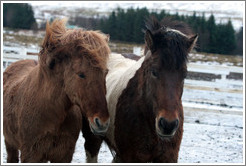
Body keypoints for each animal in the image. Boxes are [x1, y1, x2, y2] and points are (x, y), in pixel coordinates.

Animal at [2, 18, 110, 163]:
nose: (102, 123)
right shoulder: (31, 154)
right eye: (81, 74)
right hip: (10, 144)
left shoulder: (64, 155)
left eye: (105, 73)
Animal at [82, 16, 198, 162]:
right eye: (154, 72)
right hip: (93, 137)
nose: (168, 125)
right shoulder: (130, 157)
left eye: (185, 74)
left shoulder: (168, 157)